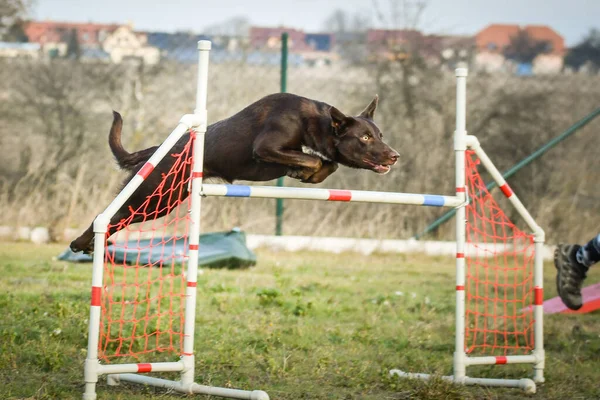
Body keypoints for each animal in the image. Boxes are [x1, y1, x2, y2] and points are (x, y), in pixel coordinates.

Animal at [70, 94, 398, 253]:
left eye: (380, 135)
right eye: (365, 138)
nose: (395, 156)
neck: (313, 121)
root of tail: (158, 149)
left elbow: (327, 163)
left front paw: (306, 172)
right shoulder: (264, 148)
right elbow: (315, 161)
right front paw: (305, 170)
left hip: (165, 200)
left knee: (116, 219)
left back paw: (89, 245)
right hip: (152, 197)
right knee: (108, 215)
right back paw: (81, 242)